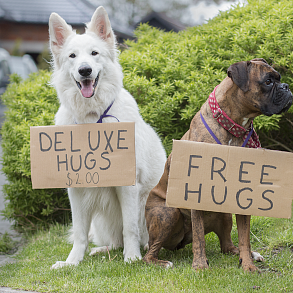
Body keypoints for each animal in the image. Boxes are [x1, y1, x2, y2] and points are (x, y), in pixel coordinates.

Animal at [49, 6, 165, 266]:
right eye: (72, 56)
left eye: (95, 53)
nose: (85, 70)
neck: (92, 119)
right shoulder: (76, 190)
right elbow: (80, 233)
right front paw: (72, 262)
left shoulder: (128, 186)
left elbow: (130, 228)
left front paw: (132, 258)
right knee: (111, 241)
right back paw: (102, 250)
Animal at [143, 58, 290, 270]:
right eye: (268, 81)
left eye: (279, 78)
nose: (286, 86)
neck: (234, 127)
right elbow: (199, 238)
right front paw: (200, 266)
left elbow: (244, 237)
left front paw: (248, 266)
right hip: (167, 214)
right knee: (149, 254)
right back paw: (163, 262)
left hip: (224, 215)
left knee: (227, 246)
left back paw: (251, 255)